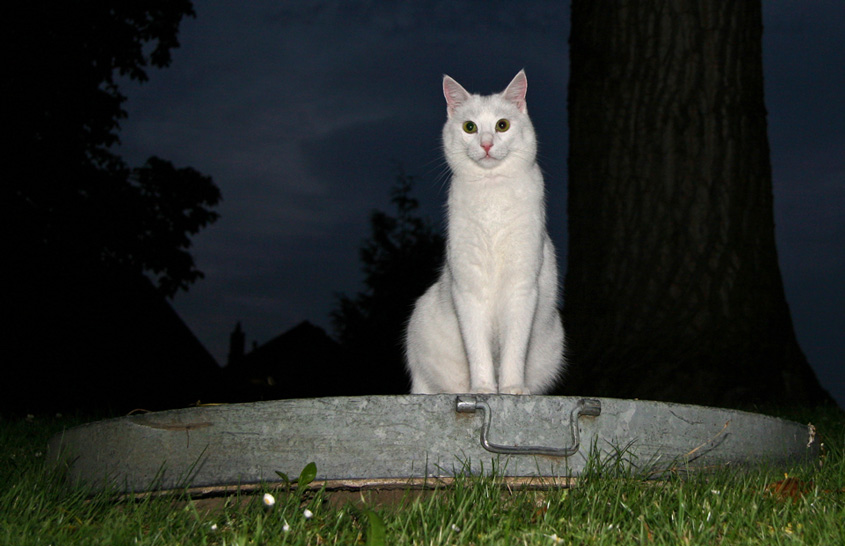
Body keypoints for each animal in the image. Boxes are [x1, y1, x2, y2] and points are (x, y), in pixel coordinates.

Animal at [406, 70, 564, 394]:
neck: (492, 193)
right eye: (470, 127)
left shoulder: (521, 287)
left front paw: (512, 388)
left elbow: (514, 348)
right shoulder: (468, 289)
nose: (487, 144)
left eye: (502, 125)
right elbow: (477, 348)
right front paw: (482, 388)